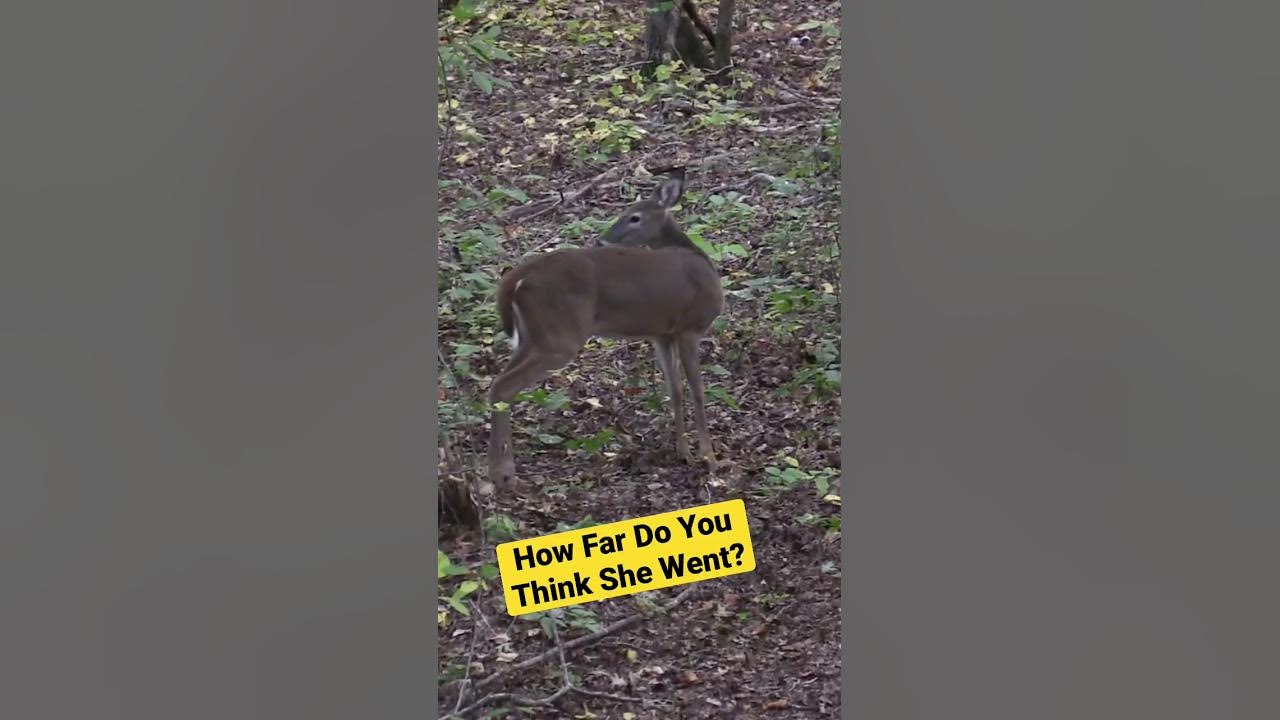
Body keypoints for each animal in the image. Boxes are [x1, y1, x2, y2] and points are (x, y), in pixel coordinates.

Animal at [486, 169, 723, 487]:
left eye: (634, 217)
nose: (601, 241)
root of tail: (516, 278)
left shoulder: (663, 334)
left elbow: (675, 390)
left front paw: (683, 453)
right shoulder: (690, 327)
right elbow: (698, 391)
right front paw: (709, 458)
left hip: (533, 336)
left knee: (496, 384)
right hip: (560, 336)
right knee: (504, 386)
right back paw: (503, 473)